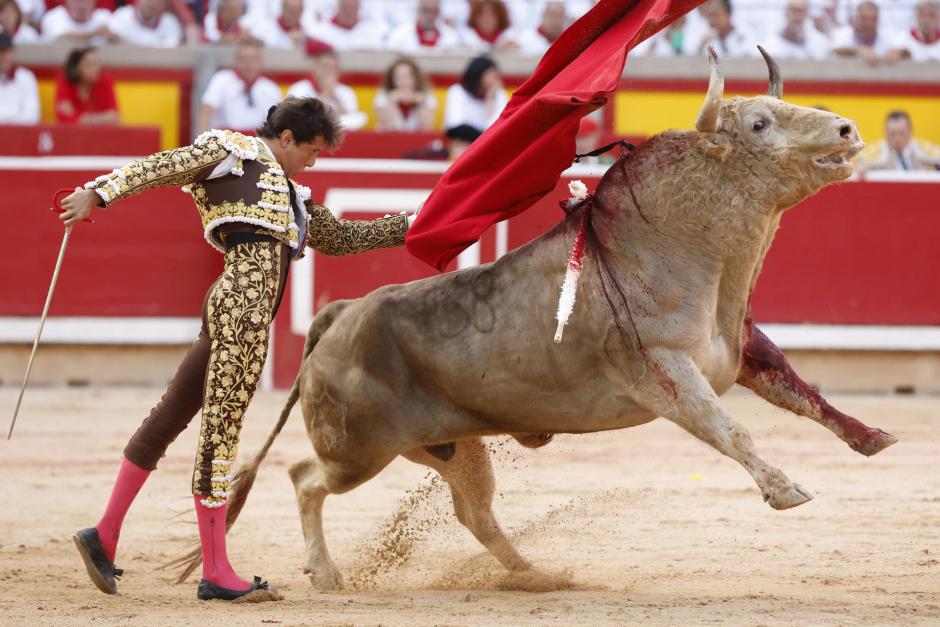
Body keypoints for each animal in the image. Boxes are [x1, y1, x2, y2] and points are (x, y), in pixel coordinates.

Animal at [174, 47, 896, 588]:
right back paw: (326, 573)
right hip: (359, 449)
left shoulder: (743, 350)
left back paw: (534, 574)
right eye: (759, 125)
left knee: (473, 512)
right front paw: (785, 489)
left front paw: (870, 437)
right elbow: (730, 427)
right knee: (305, 478)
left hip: (449, 446)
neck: (672, 245)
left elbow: (802, 393)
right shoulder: (664, 371)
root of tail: (342, 311)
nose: (845, 130)